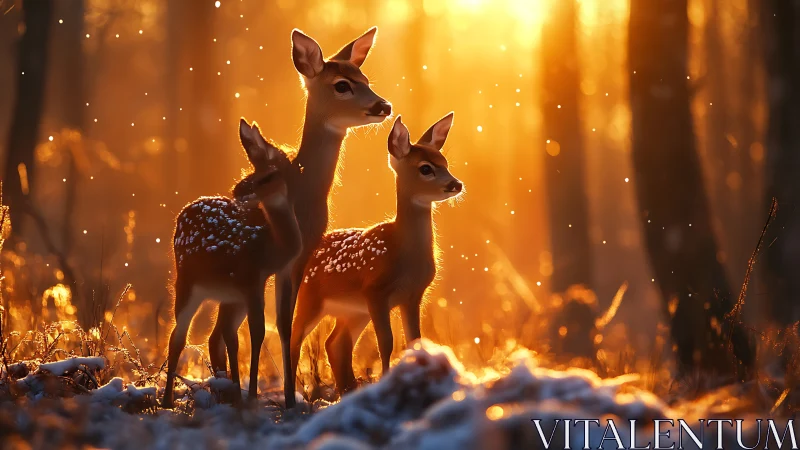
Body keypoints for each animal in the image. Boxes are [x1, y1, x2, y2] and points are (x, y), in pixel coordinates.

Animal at [163, 119, 302, 408]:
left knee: (218, 335)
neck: (271, 248)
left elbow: (275, 329)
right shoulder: (250, 281)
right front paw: (252, 396)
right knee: (177, 336)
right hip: (187, 283)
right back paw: (167, 400)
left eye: (268, 175)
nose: (239, 190)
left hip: (222, 294)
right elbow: (257, 332)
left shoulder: (255, 284)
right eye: (252, 171)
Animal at [203, 27, 391, 408]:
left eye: (365, 78)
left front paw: (289, 398)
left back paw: (225, 393)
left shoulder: (302, 254)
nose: (383, 106)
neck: (306, 196)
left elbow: (285, 324)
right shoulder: (282, 260)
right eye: (342, 84)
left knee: (217, 332)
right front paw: (283, 400)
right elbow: (280, 325)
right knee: (222, 330)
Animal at [287, 113, 463, 399]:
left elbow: (414, 340)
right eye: (426, 168)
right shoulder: (376, 292)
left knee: (335, 343)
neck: (403, 254)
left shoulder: (412, 295)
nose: (455, 184)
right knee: (295, 339)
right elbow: (387, 343)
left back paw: (347, 390)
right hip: (312, 298)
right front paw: (387, 381)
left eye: (445, 163)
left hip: (353, 311)